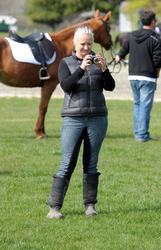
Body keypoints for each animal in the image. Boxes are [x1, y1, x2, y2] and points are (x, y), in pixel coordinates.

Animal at [0, 9, 112, 139]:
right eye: (108, 28)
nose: (110, 43)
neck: (61, 45)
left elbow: (43, 107)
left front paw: (42, 131)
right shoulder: (50, 83)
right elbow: (43, 107)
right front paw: (39, 133)